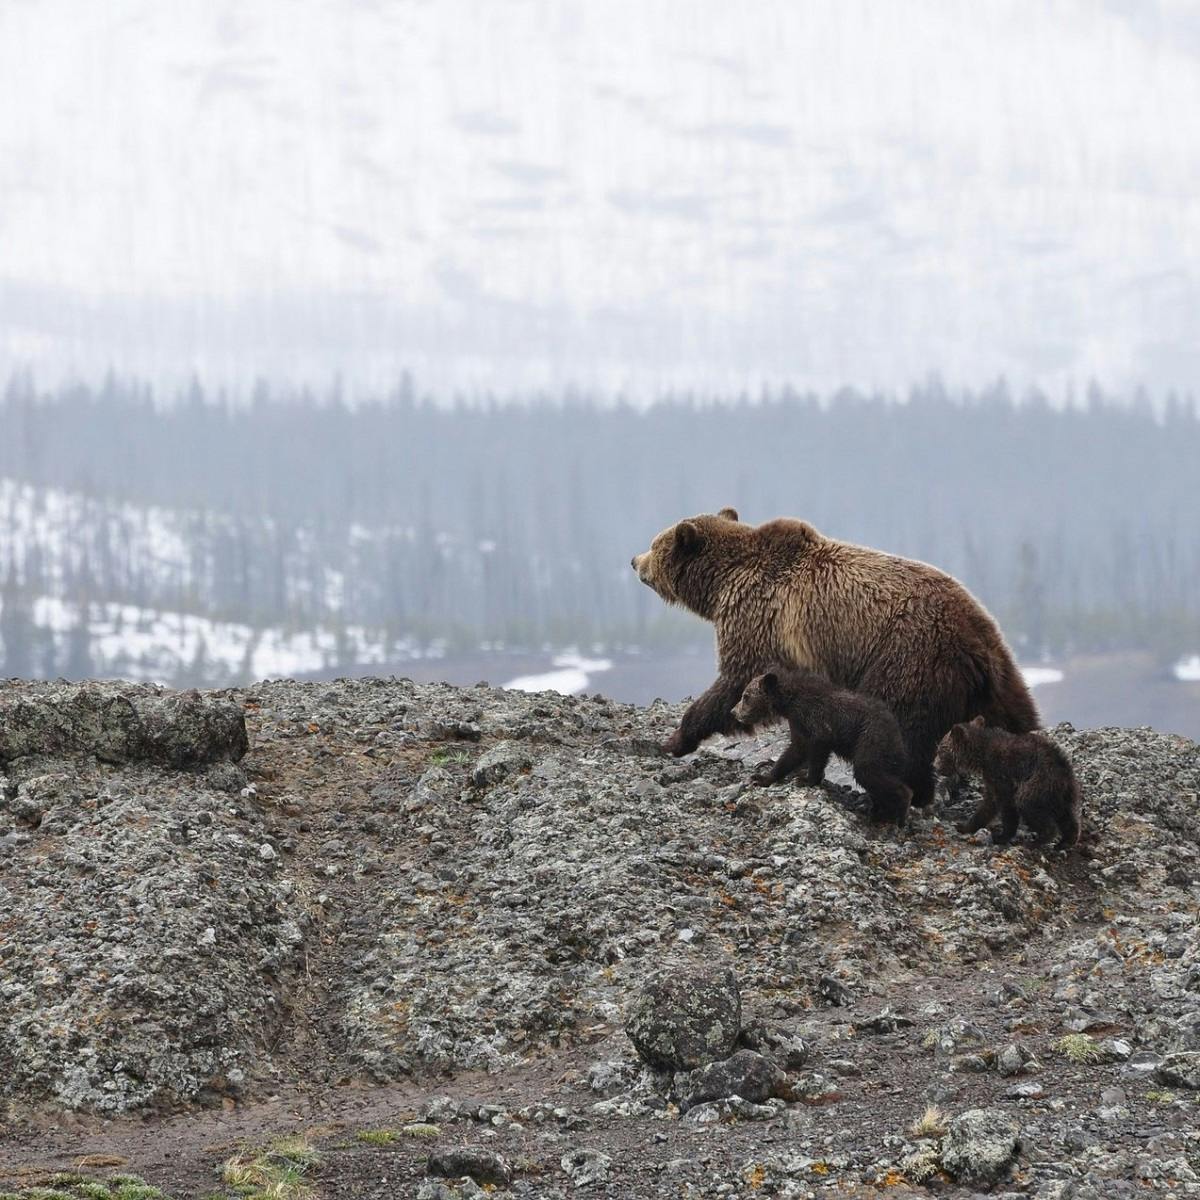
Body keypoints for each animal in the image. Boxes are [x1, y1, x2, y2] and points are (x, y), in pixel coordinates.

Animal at [729, 667, 907, 825]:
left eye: (745, 696)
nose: (733, 712)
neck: (789, 701)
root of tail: (897, 731)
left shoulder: (816, 719)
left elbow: (817, 748)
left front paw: (806, 779)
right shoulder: (797, 723)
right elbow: (795, 751)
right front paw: (762, 777)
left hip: (870, 737)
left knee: (867, 771)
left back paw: (899, 812)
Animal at [936, 715, 1080, 849]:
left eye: (940, 750)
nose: (936, 766)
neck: (980, 756)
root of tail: (1065, 773)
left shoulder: (999, 773)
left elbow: (1003, 804)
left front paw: (999, 836)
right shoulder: (991, 777)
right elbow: (990, 803)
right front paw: (966, 826)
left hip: (1038, 783)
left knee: (1027, 803)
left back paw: (1036, 841)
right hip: (1062, 794)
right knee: (1066, 816)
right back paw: (1065, 841)